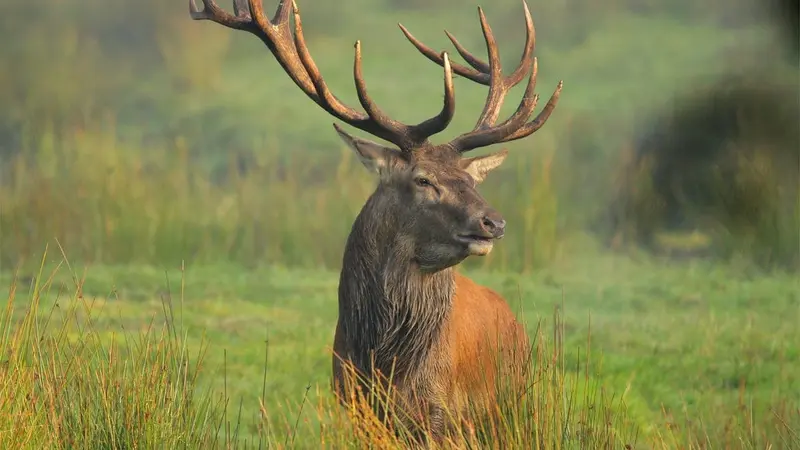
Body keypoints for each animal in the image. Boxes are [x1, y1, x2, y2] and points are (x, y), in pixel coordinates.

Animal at [189, 0, 562, 443]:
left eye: (471, 180)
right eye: (423, 179)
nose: (494, 222)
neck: (384, 363)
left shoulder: (441, 414)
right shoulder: (353, 407)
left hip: (510, 408)